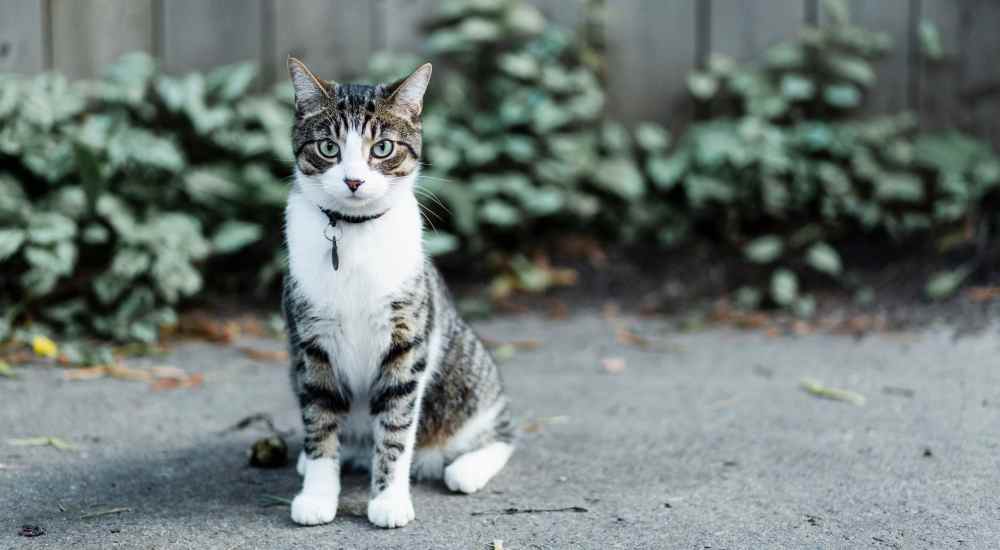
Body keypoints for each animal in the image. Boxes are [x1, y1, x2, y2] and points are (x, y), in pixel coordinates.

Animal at [282, 57, 516, 532]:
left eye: (383, 148)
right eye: (328, 148)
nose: (354, 181)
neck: (353, 234)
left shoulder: (407, 339)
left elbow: (395, 425)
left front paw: (389, 500)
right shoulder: (311, 343)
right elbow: (319, 420)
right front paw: (317, 494)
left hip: (468, 379)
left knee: (500, 433)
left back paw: (466, 468)